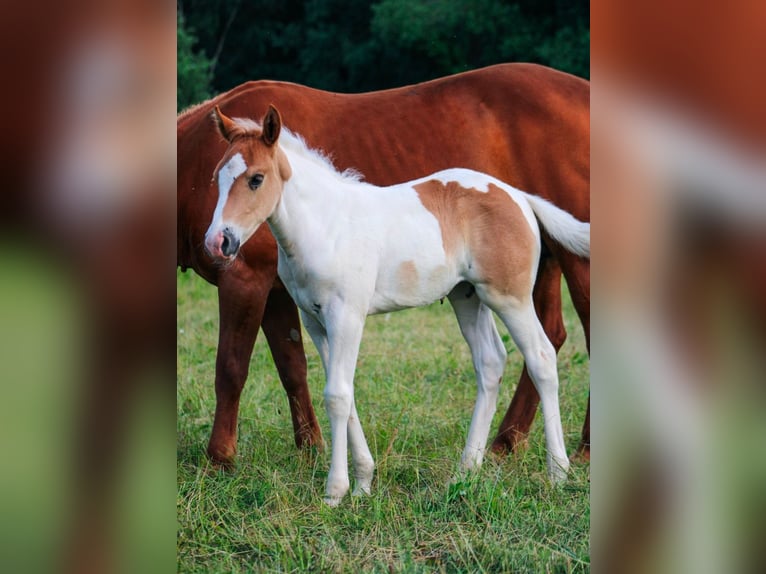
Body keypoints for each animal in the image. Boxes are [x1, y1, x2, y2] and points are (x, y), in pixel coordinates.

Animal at [177, 63, 592, 468]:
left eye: (256, 179)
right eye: (215, 178)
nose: (218, 241)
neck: (326, 221)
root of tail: (517, 196)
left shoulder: (296, 296)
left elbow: (238, 369)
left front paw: (222, 460)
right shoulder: (305, 312)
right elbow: (308, 374)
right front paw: (333, 460)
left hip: (516, 293)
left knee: (544, 355)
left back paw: (563, 464)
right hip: (471, 296)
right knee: (494, 361)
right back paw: (473, 464)